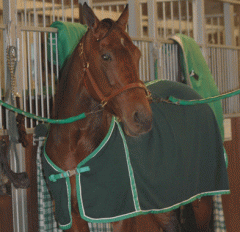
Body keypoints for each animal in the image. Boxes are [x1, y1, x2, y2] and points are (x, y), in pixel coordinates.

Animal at [43, 3, 225, 232]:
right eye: (105, 56)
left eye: (137, 54)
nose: (143, 118)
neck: (75, 147)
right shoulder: (72, 216)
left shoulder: (123, 213)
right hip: (163, 204)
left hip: (201, 201)